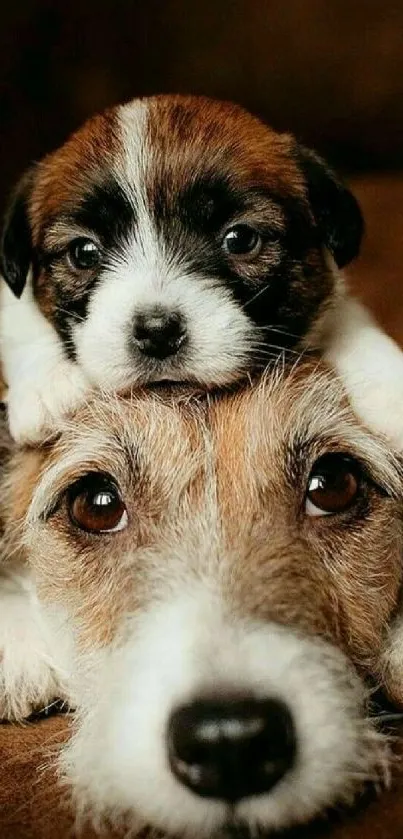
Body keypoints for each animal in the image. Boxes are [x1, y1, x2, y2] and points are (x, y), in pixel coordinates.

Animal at [2, 95, 403, 446]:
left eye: (240, 239)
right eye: (83, 253)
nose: (158, 332)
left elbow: (348, 321)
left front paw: (388, 384)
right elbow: (18, 319)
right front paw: (48, 381)